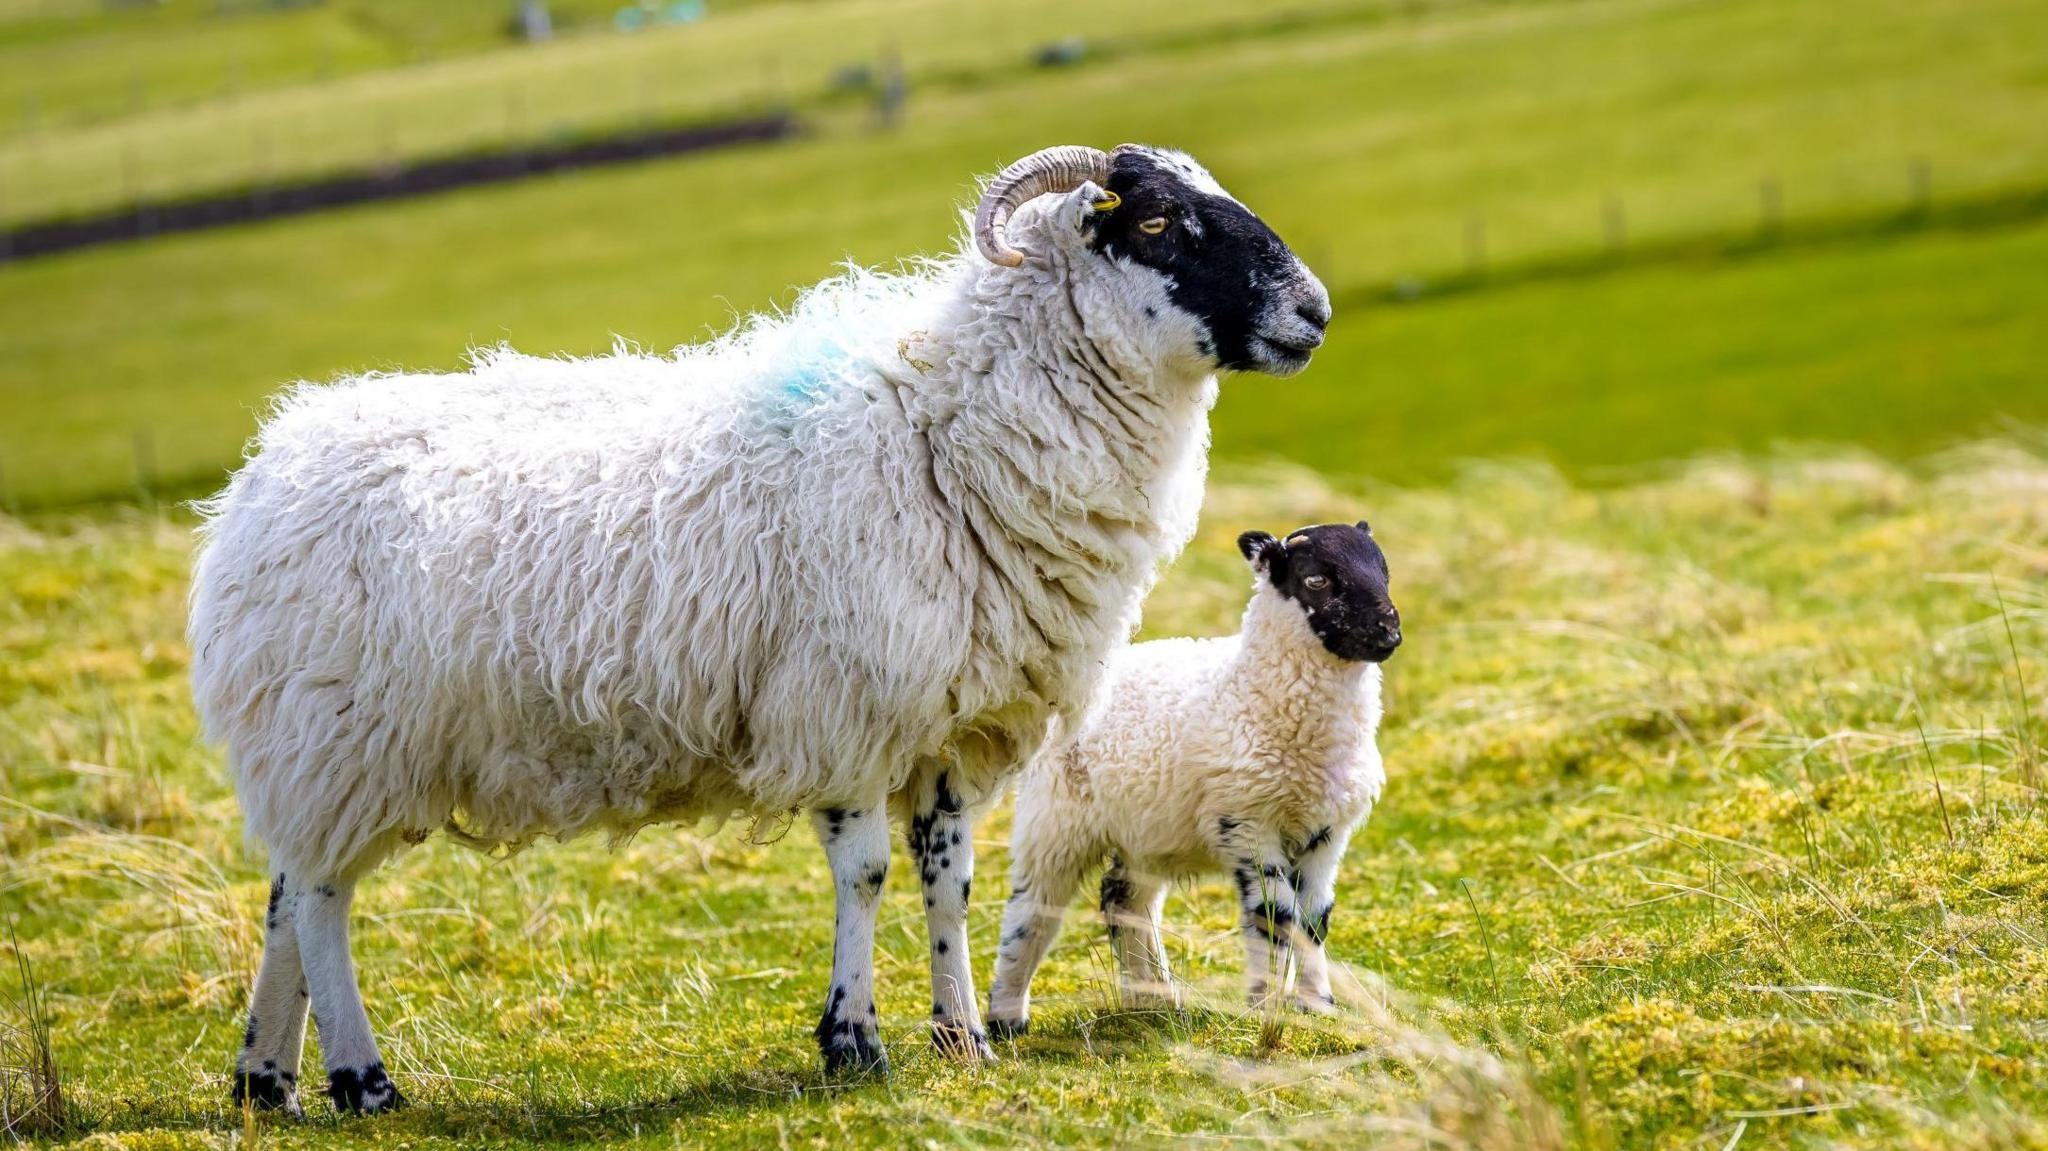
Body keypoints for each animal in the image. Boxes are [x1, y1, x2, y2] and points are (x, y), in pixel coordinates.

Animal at [189, 143, 1334, 1113]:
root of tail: (260, 476)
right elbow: (866, 874)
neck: (947, 431)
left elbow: (950, 881)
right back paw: (360, 1077)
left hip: (312, 746)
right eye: (1156, 221)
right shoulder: (843, 708)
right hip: (346, 736)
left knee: (286, 889)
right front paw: (854, 1041)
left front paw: (961, 1035)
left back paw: (266, 1079)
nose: (1314, 311)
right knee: (322, 898)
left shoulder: (946, 724)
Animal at [986, 521, 1400, 1035]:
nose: (1388, 632)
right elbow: (1274, 915)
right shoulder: (1248, 822)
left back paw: (1154, 1001)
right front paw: (1266, 1009)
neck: (1253, 691)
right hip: (1054, 816)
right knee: (1035, 908)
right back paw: (1007, 1017)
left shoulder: (1327, 833)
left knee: (1124, 900)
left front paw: (1316, 1007)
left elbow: (1313, 920)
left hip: (1146, 831)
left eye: (1384, 569)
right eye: (1316, 580)